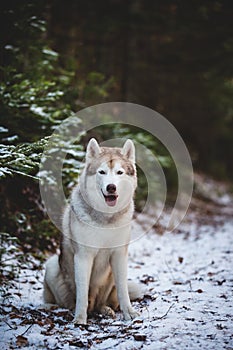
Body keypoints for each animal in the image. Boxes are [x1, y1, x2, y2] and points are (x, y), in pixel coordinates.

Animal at [43, 138, 142, 324]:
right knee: (64, 301)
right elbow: (82, 295)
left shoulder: (119, 255)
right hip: (52, 265)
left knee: (101, 302)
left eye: (119, 172)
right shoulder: (83, 257)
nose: (111, 187)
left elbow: (123, 290)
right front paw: (80, 320)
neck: (106, 219)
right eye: (101, 172)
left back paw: (105, 309)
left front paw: (129, 313)